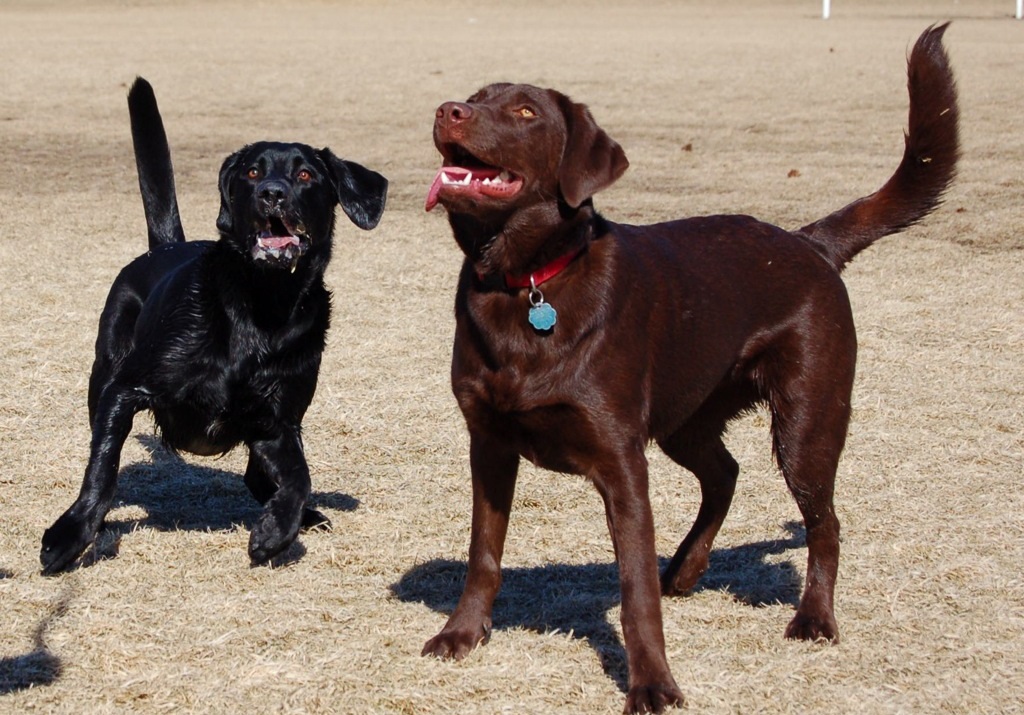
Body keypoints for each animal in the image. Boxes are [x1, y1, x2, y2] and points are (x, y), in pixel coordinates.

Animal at [39, 76, 387, 573]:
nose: (272, 194)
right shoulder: (124, 390)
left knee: (260, 477)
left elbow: (298, 477)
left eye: (305, 176)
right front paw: (70, 535)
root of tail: (164, 247)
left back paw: (303, 516)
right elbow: (102, 467)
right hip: (102, 370)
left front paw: (275, 532)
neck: (261, 304)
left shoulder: (278, 420)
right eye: (253, 174)